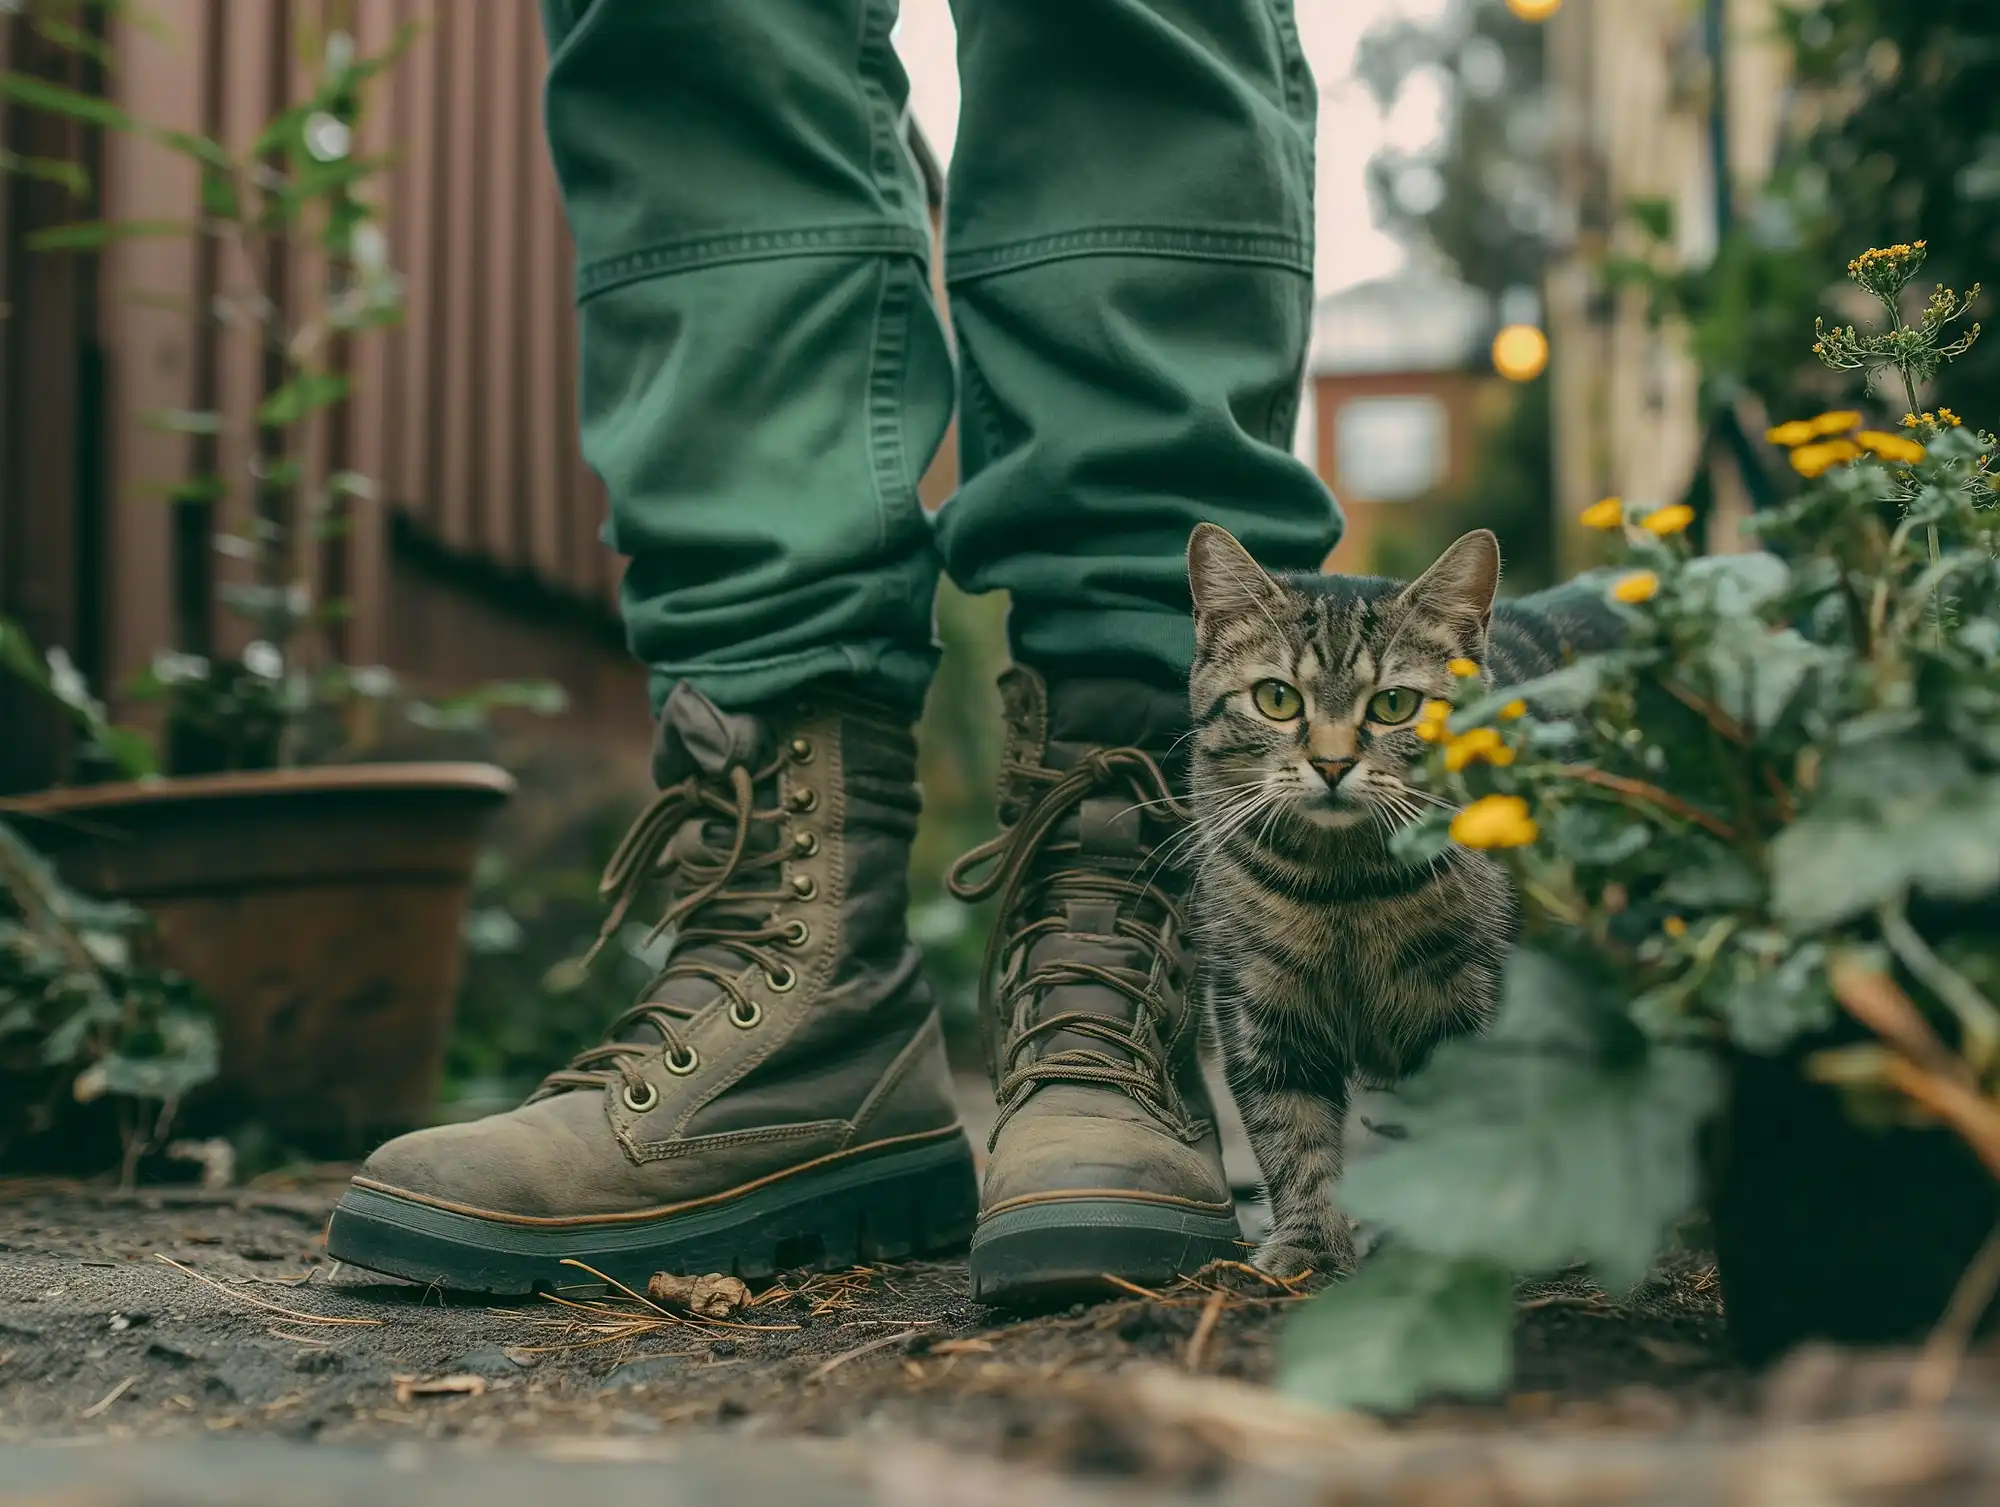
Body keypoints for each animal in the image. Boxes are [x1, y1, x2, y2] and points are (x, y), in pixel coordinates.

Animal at [1184, 523, 1624, 1271]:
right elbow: (1290, 1135)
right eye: (1277, 699)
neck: (1344, 891)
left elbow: (1468, 1140)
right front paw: (1307, 1244)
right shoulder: (1257, 1006)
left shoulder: (1480, 1006)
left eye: (1395, 705)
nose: (1332, 763)